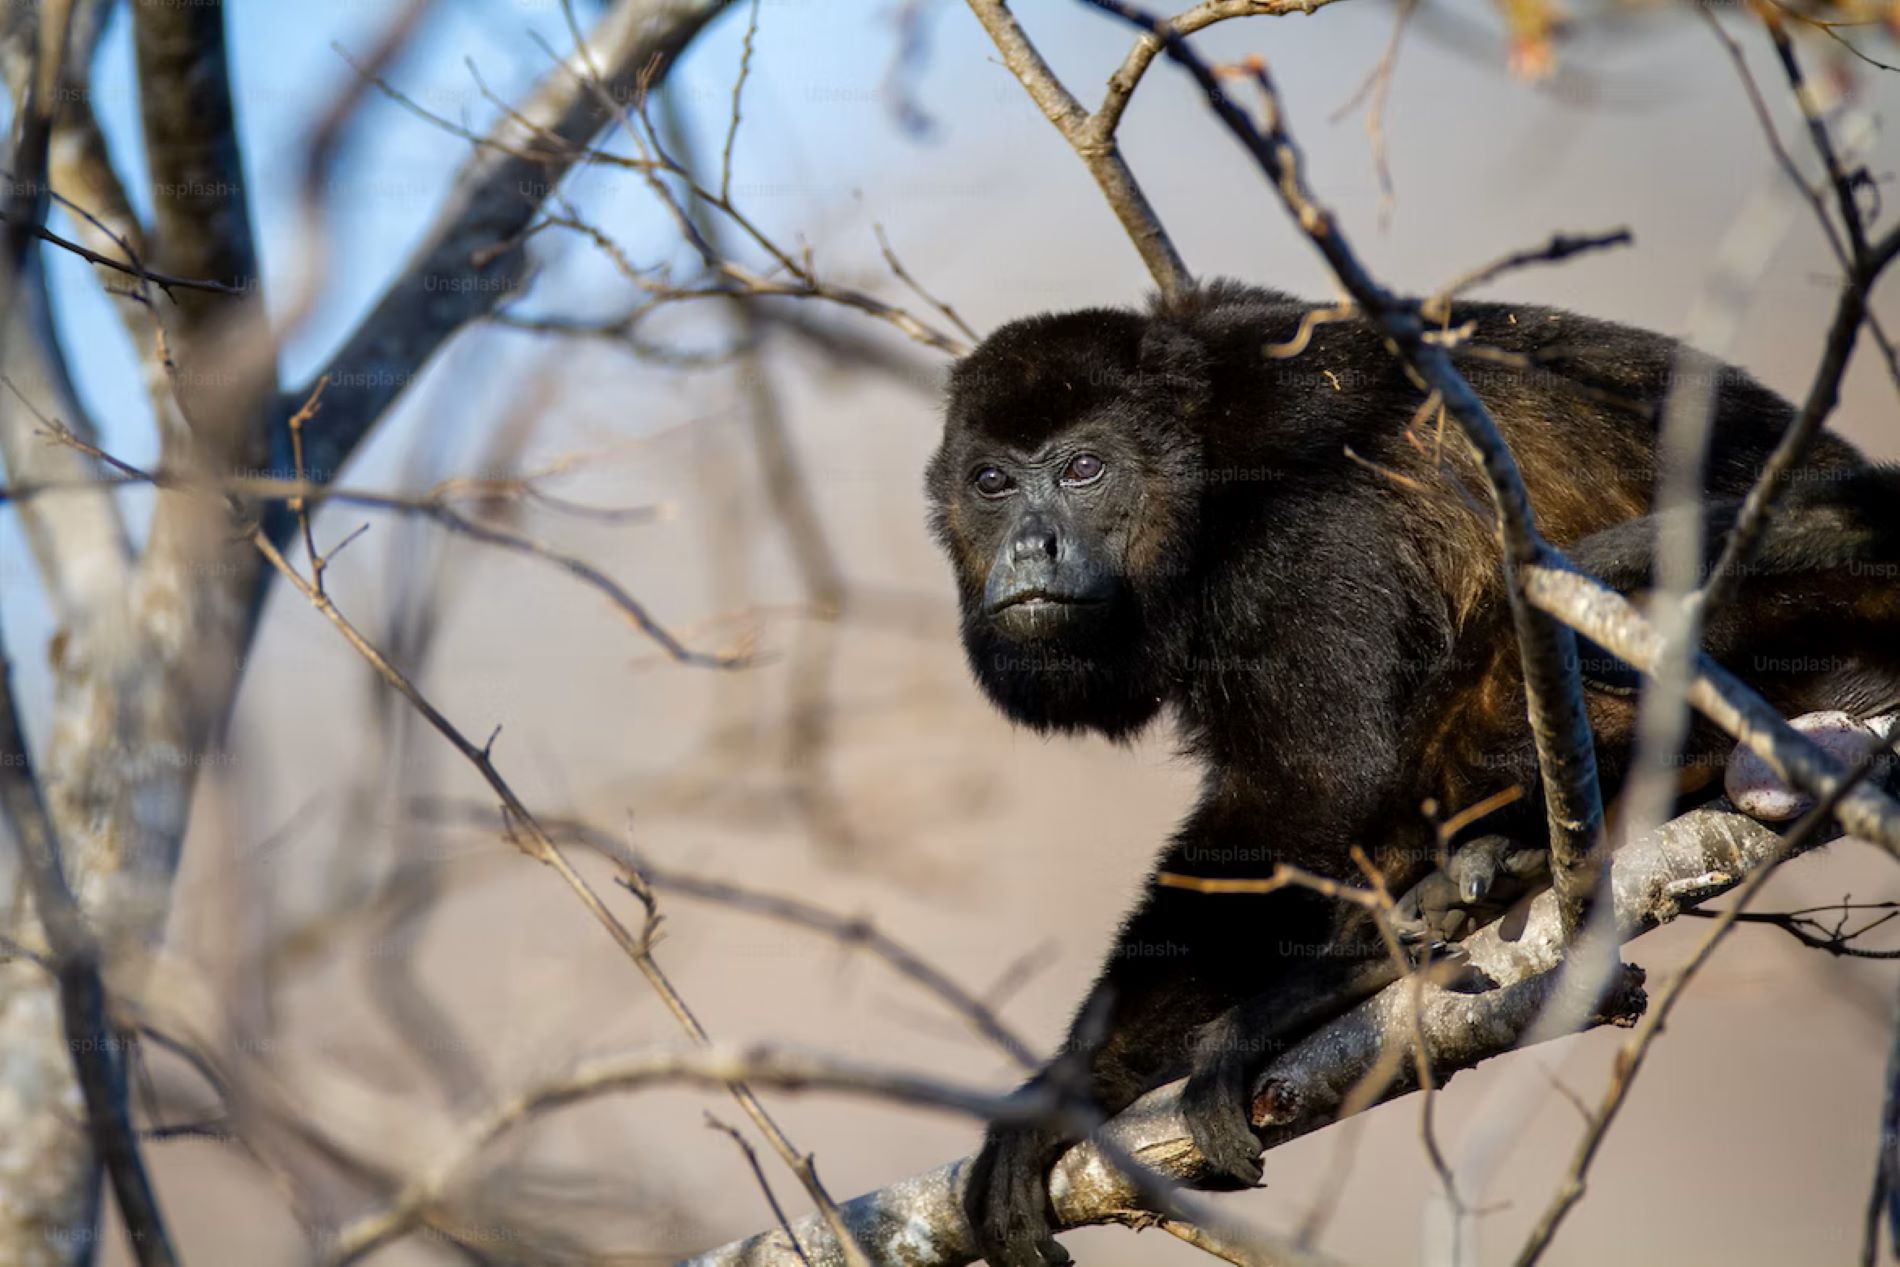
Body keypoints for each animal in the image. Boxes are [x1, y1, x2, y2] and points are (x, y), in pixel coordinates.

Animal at [927, 283, 1900, 1261]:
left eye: (1085, 469)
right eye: (992, 483)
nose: (1032, 548)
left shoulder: (1303, 534)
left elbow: (1308, 794)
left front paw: (1064, 1092)